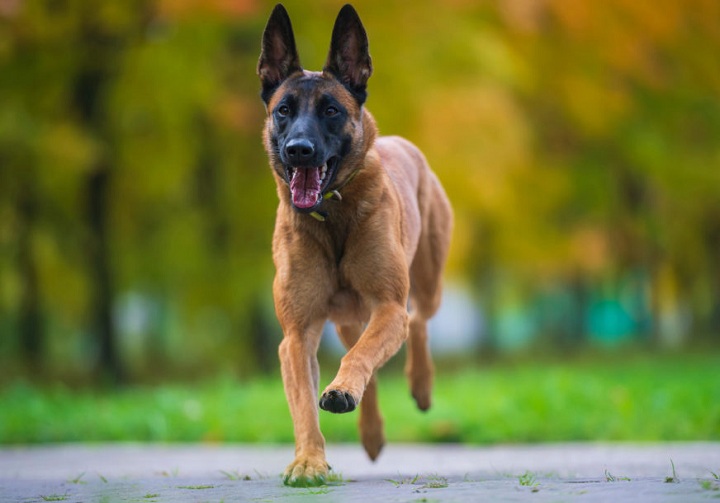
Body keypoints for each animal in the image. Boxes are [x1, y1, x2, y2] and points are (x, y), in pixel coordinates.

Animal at [256, 1, 452, 486]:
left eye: (330, 110)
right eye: (283, 110)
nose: (299, 149)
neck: (333, 218)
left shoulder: (387, 306)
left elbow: (362, 356)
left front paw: (341, 390)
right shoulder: (296, 334)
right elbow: (304, 403)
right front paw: (309, 460)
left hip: (426, 282)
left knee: (417, 323)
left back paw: (420, 385)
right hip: (346, 318)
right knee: (368, 359)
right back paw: (372, 433)